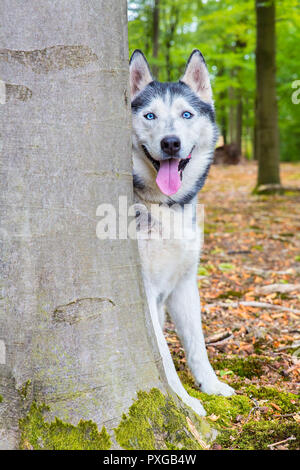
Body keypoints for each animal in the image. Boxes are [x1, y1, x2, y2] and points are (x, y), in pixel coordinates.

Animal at [129, 48, 234, 414]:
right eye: (150, 116)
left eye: (186, 114)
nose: (171, 142)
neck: (166, 206)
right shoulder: (145, 294)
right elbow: (162, 357)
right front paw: (185, 402)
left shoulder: (184, 284)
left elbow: (197, 345)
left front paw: (210, 385)